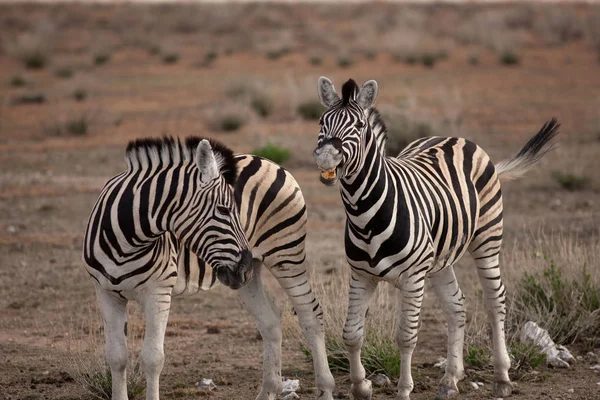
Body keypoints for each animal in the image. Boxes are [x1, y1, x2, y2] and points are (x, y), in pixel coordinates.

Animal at [83, 138, 338, 400]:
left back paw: (325, 388)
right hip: (247, 276)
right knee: (270, 321)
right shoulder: (106, 294)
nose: (244, 263)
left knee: (310, 314)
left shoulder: (158, 293)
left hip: (285, 254)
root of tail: (269, 161)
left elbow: (153, 358)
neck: (127, 242)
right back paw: (269, 390)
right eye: (224, 210)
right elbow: (116, 357)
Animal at [312, 77, 560, 400]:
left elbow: (406, 336)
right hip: (441, 259)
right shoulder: (361, 274)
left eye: (359, 125)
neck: (364, 215)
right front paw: (361, 386)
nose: (326, 157)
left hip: (487, 241)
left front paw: (404, 390)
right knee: (457, 306)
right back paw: (450, 379)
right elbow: (352, 334)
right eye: (322, 121)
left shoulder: (413, 277)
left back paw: (502, 376)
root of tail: (456, 137)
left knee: (496, 301)